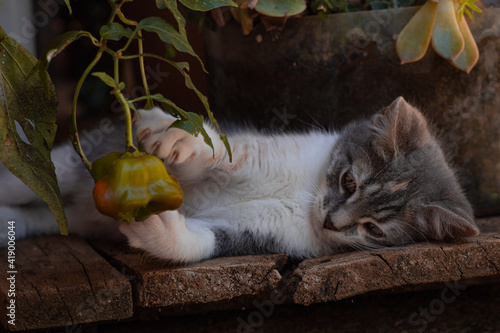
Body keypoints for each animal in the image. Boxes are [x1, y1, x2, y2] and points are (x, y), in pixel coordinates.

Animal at [0, 96, 478, 262]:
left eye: (374, 229)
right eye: (349, 182)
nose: (331, 221)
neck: (302, 194)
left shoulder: (261, 234)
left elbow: (206, 241)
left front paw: (157, 230)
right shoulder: (263, 152)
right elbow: (226, 152)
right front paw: (180, 137)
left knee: (37, 215)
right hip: (60, 165)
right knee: (29, 179)